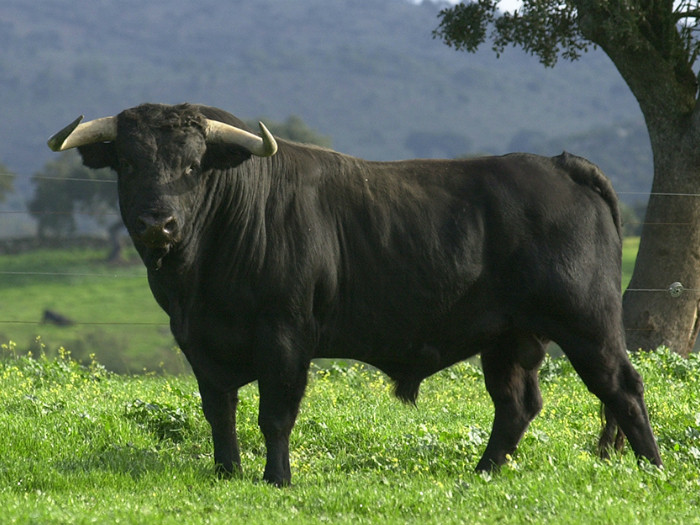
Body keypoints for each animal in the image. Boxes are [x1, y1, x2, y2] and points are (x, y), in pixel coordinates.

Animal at [47, 104, 660, 486]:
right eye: (129, 162)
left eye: (194, 165)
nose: (159, 223)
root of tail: (558, 164)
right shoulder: (200, 345)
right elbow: (219, 412)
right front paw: (227, 473)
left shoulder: (285, 338)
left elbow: (276, 414)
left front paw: (276, 479)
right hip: (508, 338)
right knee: (517, 405)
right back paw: (482, 473)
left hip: (588, 323)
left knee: (623, 388)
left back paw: (653, 467)